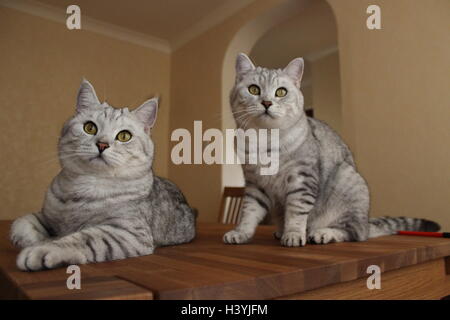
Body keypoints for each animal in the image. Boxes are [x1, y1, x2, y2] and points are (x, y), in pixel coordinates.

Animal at [9, 79, 196, 270]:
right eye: (90, 127)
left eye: (124, 136)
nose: (102, 144)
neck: (85, 185)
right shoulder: (46, 215)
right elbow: (21, 222)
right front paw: (36, 239)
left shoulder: (128, 232)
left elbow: (84, 238)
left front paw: (43, 248)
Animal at [224, 53, 440, 246]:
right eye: (253, 89)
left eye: (281, 92)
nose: (267, 102)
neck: (265, 140)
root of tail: (367, 222)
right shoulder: (255, 184)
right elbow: (249, 212)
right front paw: (240, 233)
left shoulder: (302, 179)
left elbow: (296, 212)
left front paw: (293, 234)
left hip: (349, 183)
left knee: (355, 232)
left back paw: (322, 233)